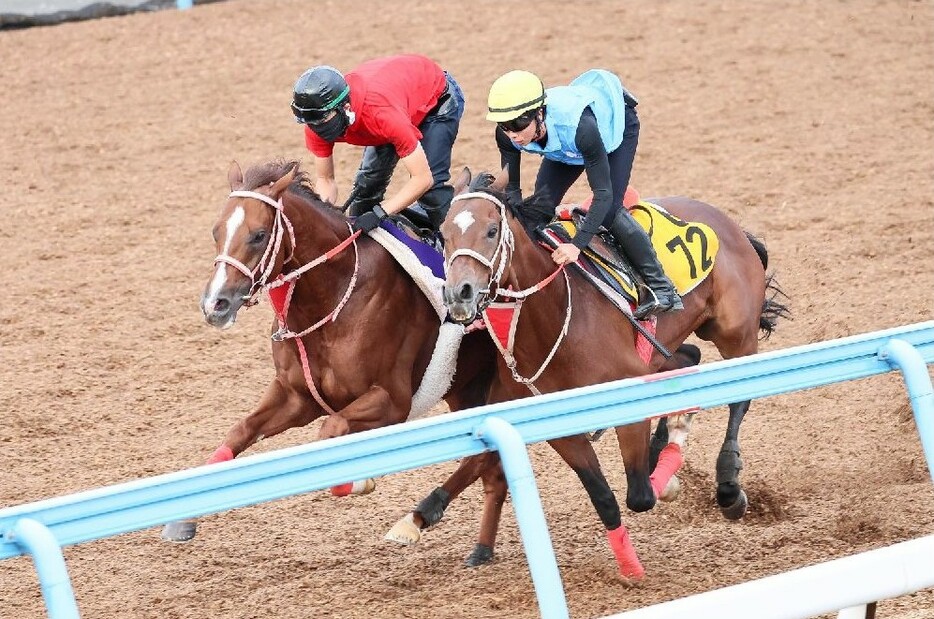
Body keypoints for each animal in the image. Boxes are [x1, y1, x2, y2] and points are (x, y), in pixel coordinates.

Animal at [162, 160, 500, 544]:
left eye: (259, 235)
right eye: (216, 232)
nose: (215, 304)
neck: (333, 298)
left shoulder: (392, 400)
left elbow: (330, 429)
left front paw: (360, 481)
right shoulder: (296, 396)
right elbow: (239, 432)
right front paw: (182, 519)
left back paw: (420, 518)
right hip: (464, 386)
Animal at [394, 171, 788, 580]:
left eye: (490, 231)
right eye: (444, 234)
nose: (460, 294)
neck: (556, 317)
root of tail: (728, 222)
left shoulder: (625, 398)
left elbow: (640, 495)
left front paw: (665, 480)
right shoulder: (558, 424)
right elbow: (604, 496)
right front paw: (629, 564)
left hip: (733, 333)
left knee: (739, 397)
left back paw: (727, 485)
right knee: (688, 360)